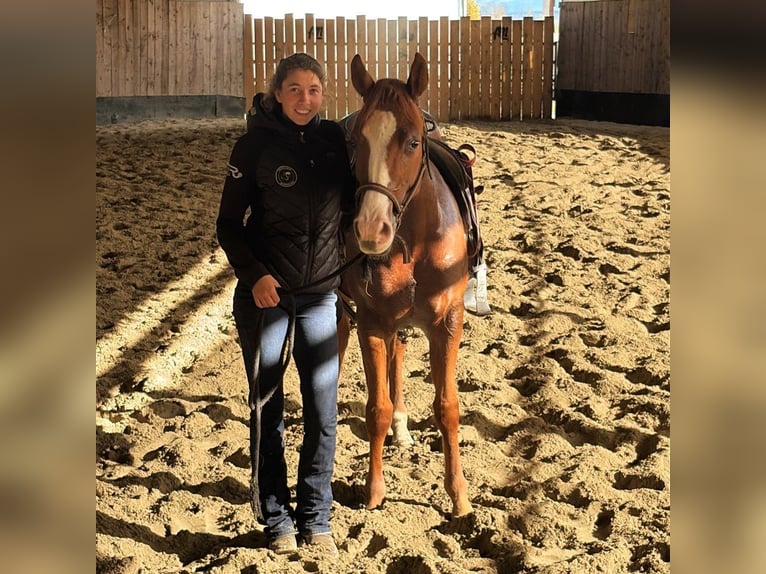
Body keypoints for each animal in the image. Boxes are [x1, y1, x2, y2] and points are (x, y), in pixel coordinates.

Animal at [338, 52, 473, 518]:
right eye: (355, 141)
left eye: (413, 142)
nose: (370, 229)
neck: (414, 242)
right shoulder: (372, 323)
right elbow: (375, 408)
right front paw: (374, 490)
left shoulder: (447, 322)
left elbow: (447, 407)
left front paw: (458, 496)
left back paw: (402, 426)